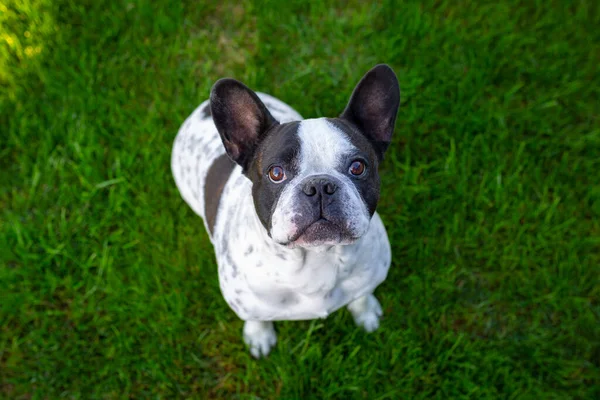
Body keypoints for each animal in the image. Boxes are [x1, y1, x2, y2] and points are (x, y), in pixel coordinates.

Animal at [171, 64, 400, 358]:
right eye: (276, 173)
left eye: (358, 167)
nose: (319, 185)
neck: (317, 256)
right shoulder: (244, 301)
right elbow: (255, 318)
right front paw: (258, 336)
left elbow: (361, 296)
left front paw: (366, 313)